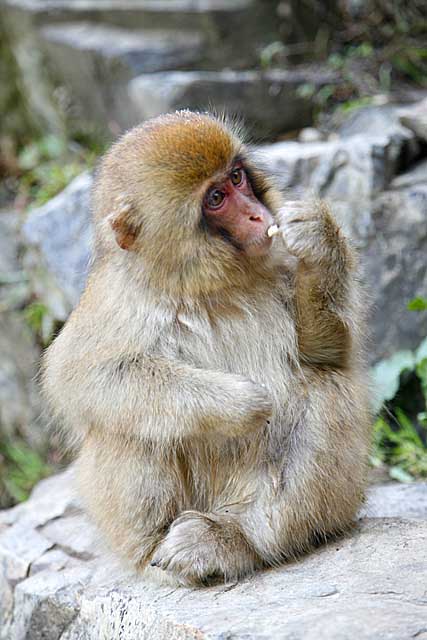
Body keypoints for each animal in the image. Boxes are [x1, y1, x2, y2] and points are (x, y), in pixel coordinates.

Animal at [41, 110, 372, 584]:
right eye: (216, 198)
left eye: (237, 177)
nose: (257, 215)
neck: (206, 285)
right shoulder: (116, 300)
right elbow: (84, 377)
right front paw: (240, 403)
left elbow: (326, 353)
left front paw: (320, 238)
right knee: (133, 426)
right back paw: (157, 551)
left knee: (324, 387)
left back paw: (238, 541)